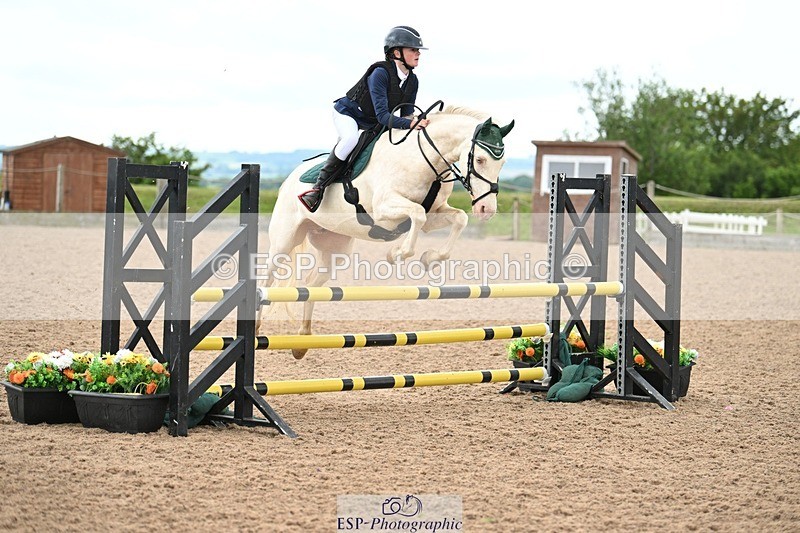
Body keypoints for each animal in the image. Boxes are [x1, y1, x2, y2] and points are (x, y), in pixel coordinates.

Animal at [256, 104, 514, 359]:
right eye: (480, 159)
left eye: (502, 163)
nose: (486, 209)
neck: (422, 160)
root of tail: (288, 180)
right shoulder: (384, 208)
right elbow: (417, 214)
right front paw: (396, 254)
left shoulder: (434, 214)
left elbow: (458, 219)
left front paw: (430, 259)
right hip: (284, 241)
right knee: (267, 279)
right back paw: (258, 329)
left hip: (334, 248)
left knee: (311, 285)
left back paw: (302, 340)